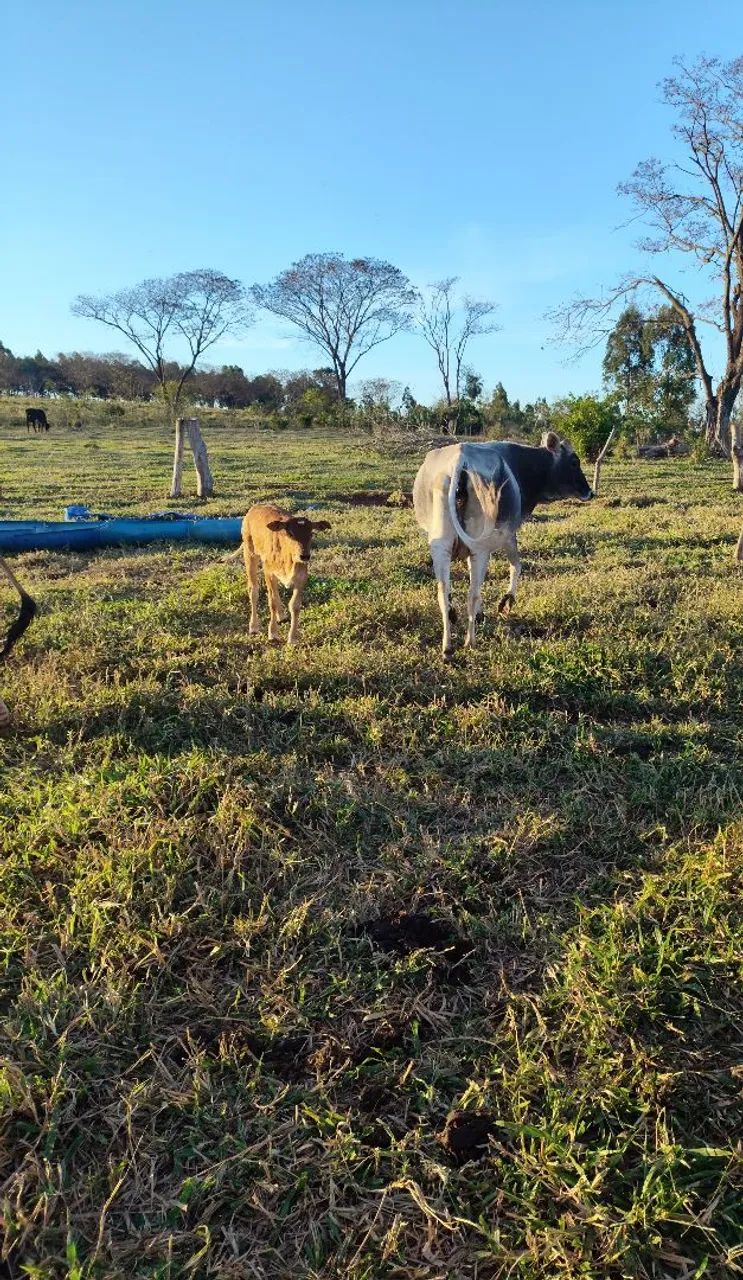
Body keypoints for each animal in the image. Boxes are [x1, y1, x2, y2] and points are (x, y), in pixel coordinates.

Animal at [226, 504, 331, 646]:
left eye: (311, 533)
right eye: (290, 533)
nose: (304, 556)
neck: (288, 559)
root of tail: (254, 507)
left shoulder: (302, 577)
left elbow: (294, 605)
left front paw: (292, 638)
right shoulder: (269, 572)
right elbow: (272, 602)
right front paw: (273, 633)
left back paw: (281, 616)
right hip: (249, 553)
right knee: (253, 590)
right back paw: (254, 625)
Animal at [413, 432, 594, 656]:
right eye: (574, 462)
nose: (590, 492)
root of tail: (459, 459)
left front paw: (479, 613)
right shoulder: (509, 534)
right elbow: (517, 565)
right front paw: (506, 601)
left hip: (441, 547)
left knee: (443, 591)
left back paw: (447, 647)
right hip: (481, 548)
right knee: (472, 594)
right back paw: (470, 642)